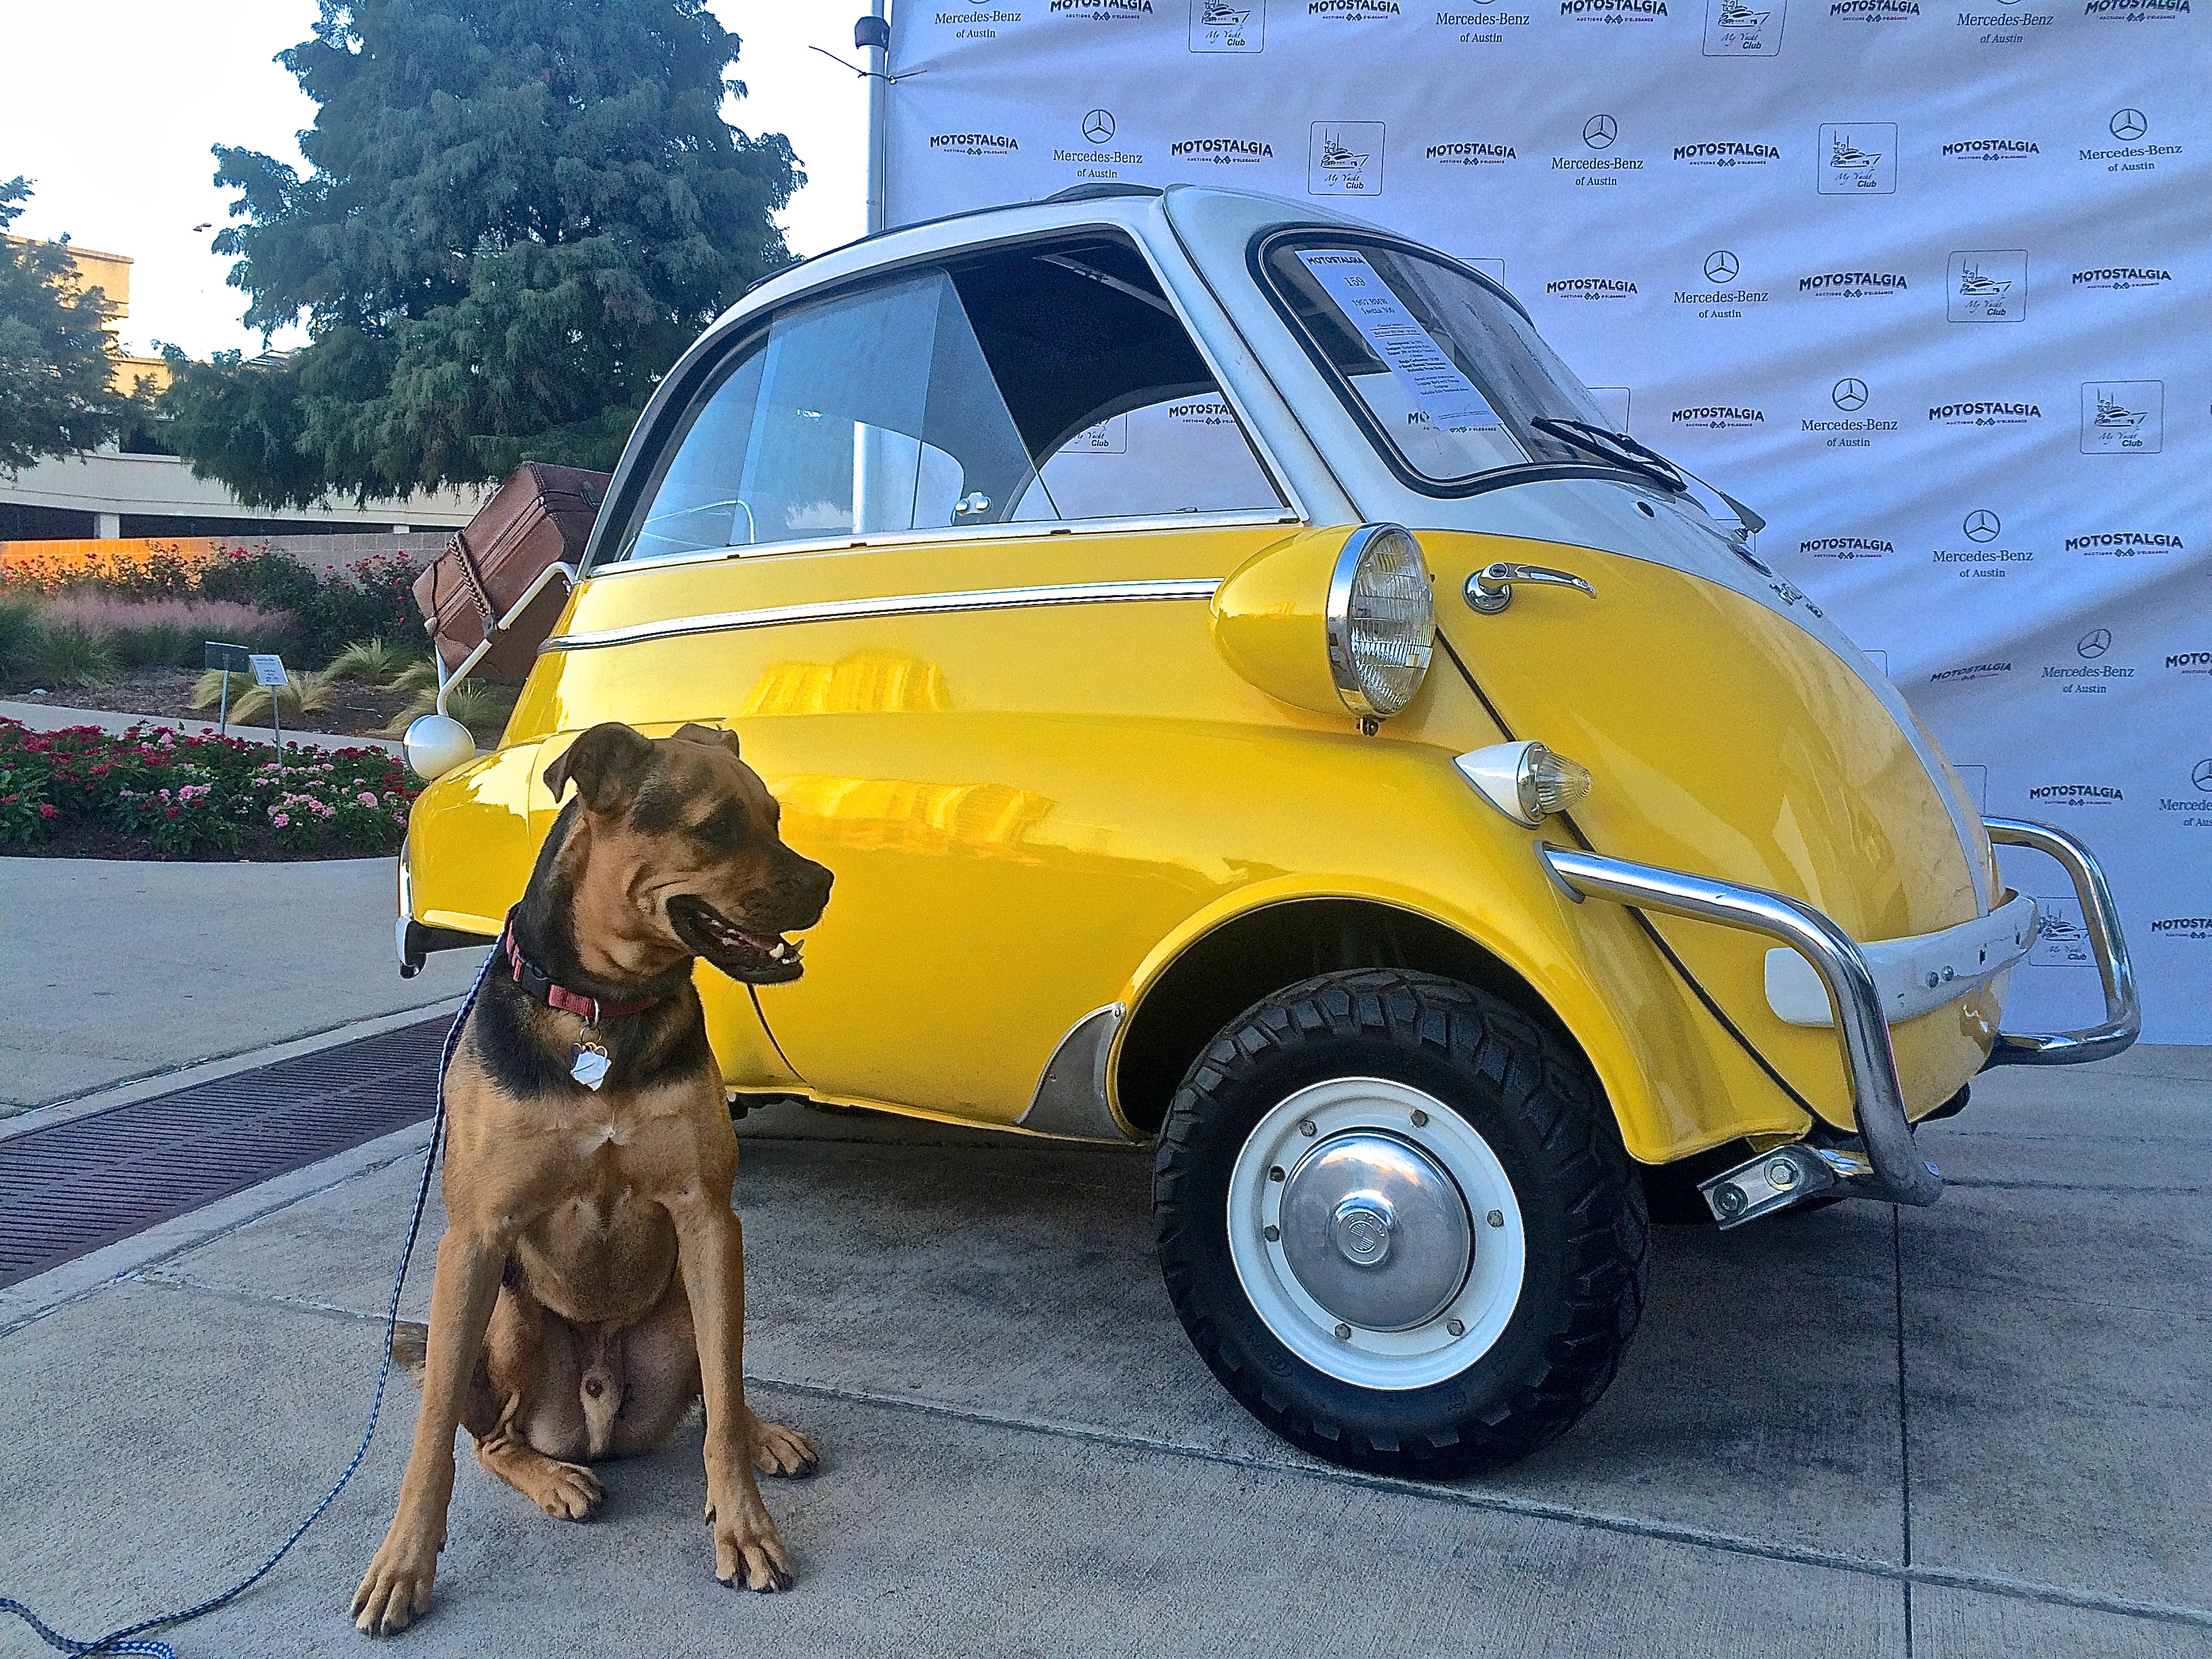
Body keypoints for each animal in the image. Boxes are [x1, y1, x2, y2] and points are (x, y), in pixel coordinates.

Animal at [354, 716, 836, 1637]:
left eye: (776, 815)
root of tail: (601, 1411)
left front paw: (745, 1524)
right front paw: (402, 1564)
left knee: (717, 1390)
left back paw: (762, 1432)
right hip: (509, 1316)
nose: (828, 883)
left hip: (691, 1295)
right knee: (489, 1436)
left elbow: (724, 1402)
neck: (604, 1011)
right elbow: (432, 1441)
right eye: (719, 826)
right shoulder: (473, 1241)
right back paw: (554, 1477)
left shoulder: (709, 1218)